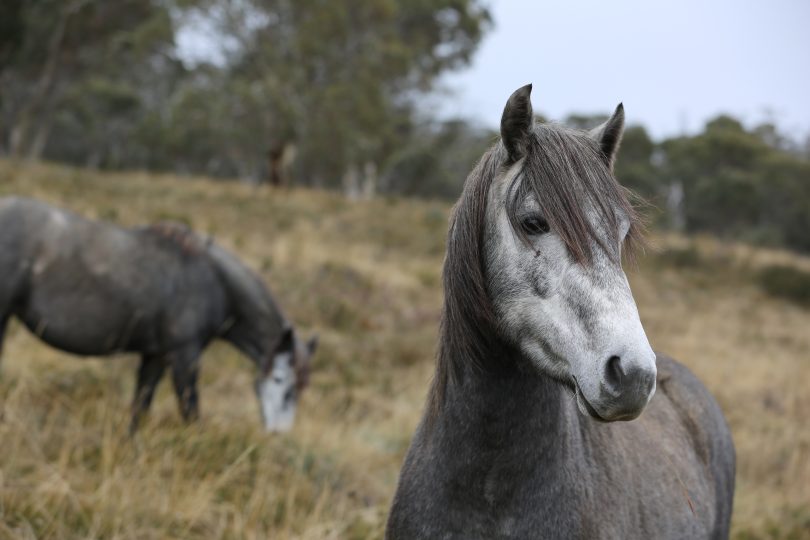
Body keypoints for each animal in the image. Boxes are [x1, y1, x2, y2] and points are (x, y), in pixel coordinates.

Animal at [0, 198, 316, 434]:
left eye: (300, 389)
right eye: (280, 380)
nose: (278, 434)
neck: (214, 281)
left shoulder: (156, 357)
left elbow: (140, 408)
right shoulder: (184, 359)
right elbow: (191, 413)